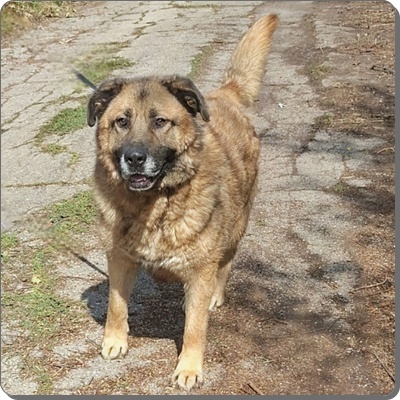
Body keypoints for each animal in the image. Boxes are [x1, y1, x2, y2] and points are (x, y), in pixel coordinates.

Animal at [84, 14, 278, 391]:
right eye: (121, 121)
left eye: (160, 121)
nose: (134, 158)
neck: (154, 205)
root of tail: (223, 94)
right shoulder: (118, 258)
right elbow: (116, 304)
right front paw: (114, 340)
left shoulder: (200, 271)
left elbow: (194, 328)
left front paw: (189, 367)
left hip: (235, 229)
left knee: (225, 264)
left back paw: (216, 295)